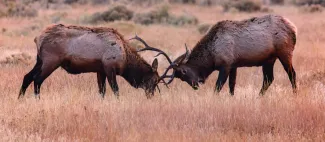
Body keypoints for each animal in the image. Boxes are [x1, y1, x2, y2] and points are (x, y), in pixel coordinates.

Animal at [17, 23, 161, 98]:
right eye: (154, 80)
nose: (151, 95)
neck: (125, 60)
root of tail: (38, 38)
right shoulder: (110, 68)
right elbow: (115, 90)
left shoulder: (100, 70)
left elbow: (102, 91)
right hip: (51, 61)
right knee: (37, 79)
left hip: (40, 60)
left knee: (27, 77)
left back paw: (20, 99)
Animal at [137, 14, 296, 95]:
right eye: (180, 78)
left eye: (183, 72)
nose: (196, 84)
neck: (211, 55)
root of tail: (293, 28)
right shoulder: (234, 65)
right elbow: (232, 86)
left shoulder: (225, 65)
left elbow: (218, 87)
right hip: (269, 59)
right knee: (268, 79)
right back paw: (258, 97)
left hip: (284, 53)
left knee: (292, 74)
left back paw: (295, 94)